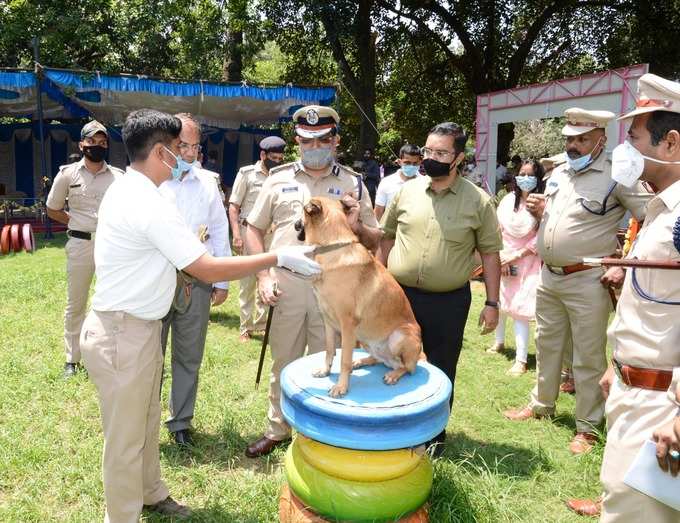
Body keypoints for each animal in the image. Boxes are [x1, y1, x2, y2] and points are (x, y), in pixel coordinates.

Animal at [298, 196, 420, 398]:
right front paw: (325, 370)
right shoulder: (327, 321)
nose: (295, 224)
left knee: (407, 367)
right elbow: (329, 349)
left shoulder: (347, 325)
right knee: (379, 359)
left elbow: (344, 360)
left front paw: (341, 386)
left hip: (399, 336)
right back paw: (362, 362)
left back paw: (393, 374)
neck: (332, 247)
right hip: (365, 339)